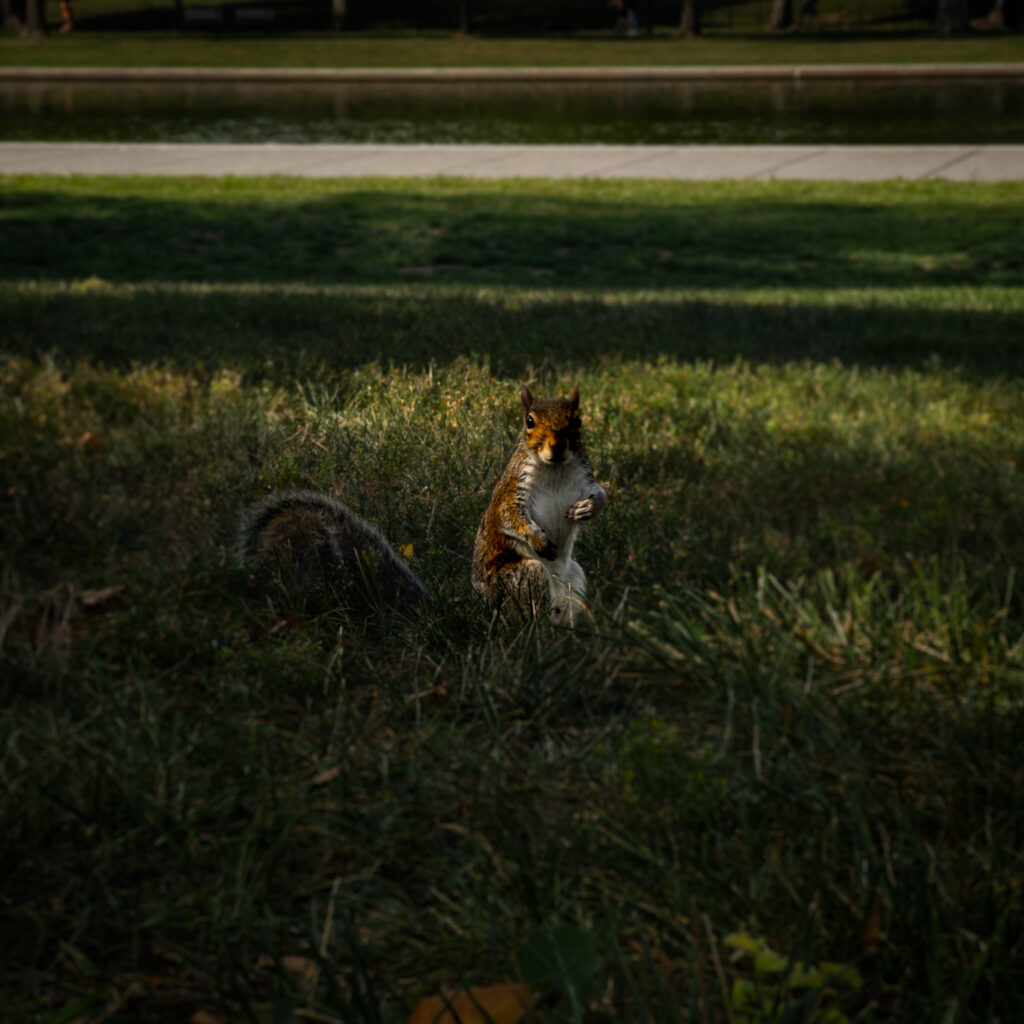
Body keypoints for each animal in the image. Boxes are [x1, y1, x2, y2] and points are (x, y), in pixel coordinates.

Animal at [471, 385, 607, 625]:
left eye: (578, 421)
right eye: (529, 421)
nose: (557, 446)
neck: (554, 468)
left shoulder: (584, 481)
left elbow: (600, 494)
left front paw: (588, 508)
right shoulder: (513, 486)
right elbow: (507, 515)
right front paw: (538, 539)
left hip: (574, 578)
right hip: (522, 579)